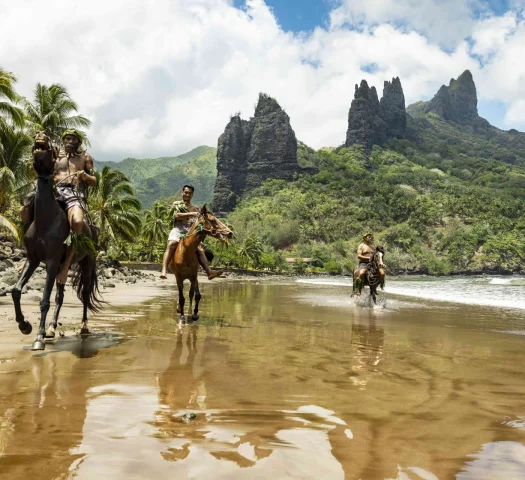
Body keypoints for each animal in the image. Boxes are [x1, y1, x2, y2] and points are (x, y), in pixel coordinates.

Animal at [11, 133, 101, 350]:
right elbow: (16, 290)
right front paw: (25, 326)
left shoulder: (51, 261)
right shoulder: (33, 259)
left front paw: (38, 338)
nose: (40, 135)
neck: (46, 219)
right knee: (60, 296)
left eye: (53, 149)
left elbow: (44, 300)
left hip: (86, 264)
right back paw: (52, 328)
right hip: (62, 268)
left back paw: (84, 327)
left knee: (85, 294)